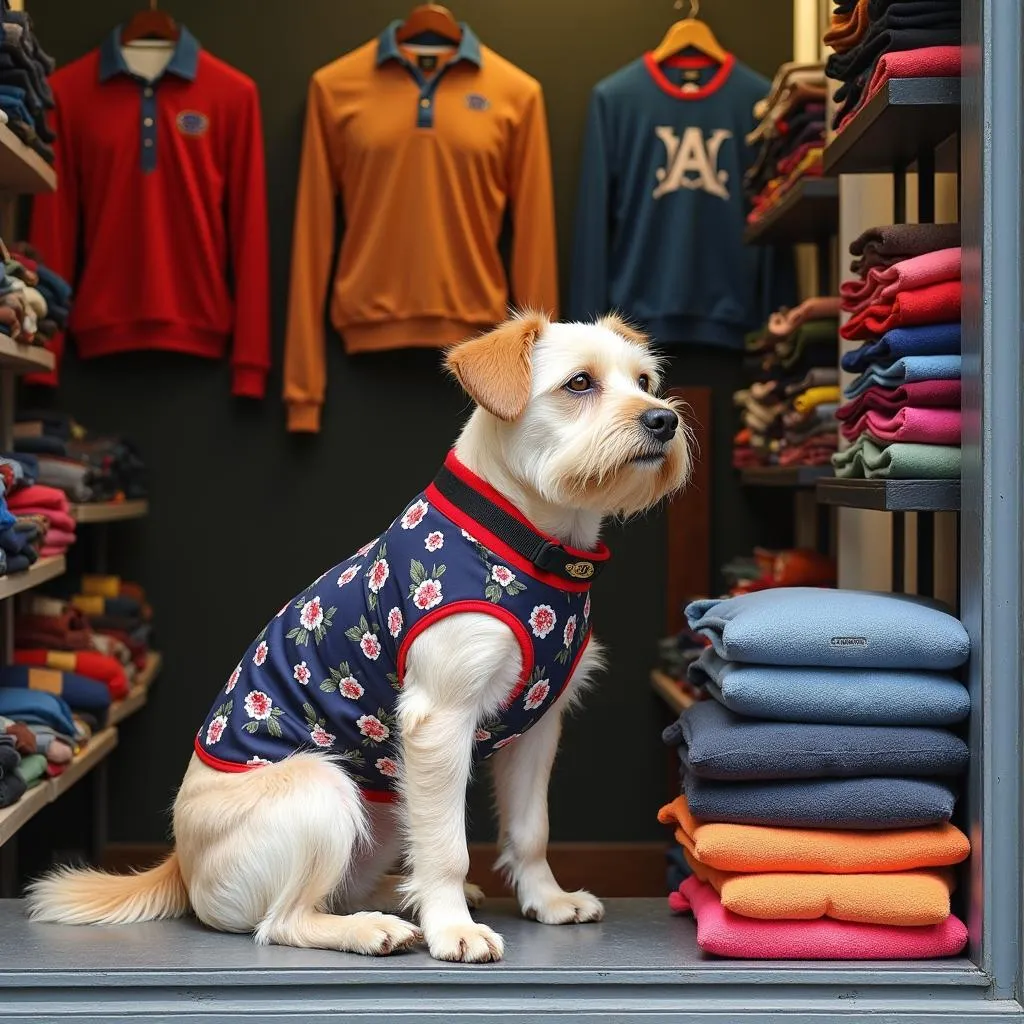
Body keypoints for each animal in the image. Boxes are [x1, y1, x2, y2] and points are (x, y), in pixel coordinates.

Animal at [28, 309, 692, 958]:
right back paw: (376, 928)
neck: (529, 541)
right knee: (283, 922)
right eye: (579, 383)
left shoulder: (537, 727)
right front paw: (453, 930)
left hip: (384, 811)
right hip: (324, 787)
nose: (663, 420)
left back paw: (400, 900)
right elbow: (447, 847)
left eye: (645, 382)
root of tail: (181, 866)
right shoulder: (439, 720)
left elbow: (531, 830)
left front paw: (546, 900)